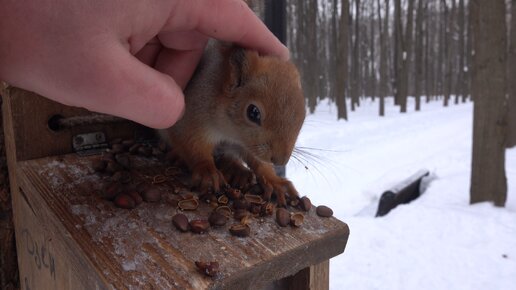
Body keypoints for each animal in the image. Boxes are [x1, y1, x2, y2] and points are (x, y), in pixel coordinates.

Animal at [160, 40, 306, 207]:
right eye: (253, 112)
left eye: (303, 115)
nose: (280, 161)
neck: (231, 133)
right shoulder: (190, 114)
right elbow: (192, 144)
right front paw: (207, 171)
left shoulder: (248, 145)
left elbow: (258, 162)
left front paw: (274, 180)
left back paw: (237, 170)